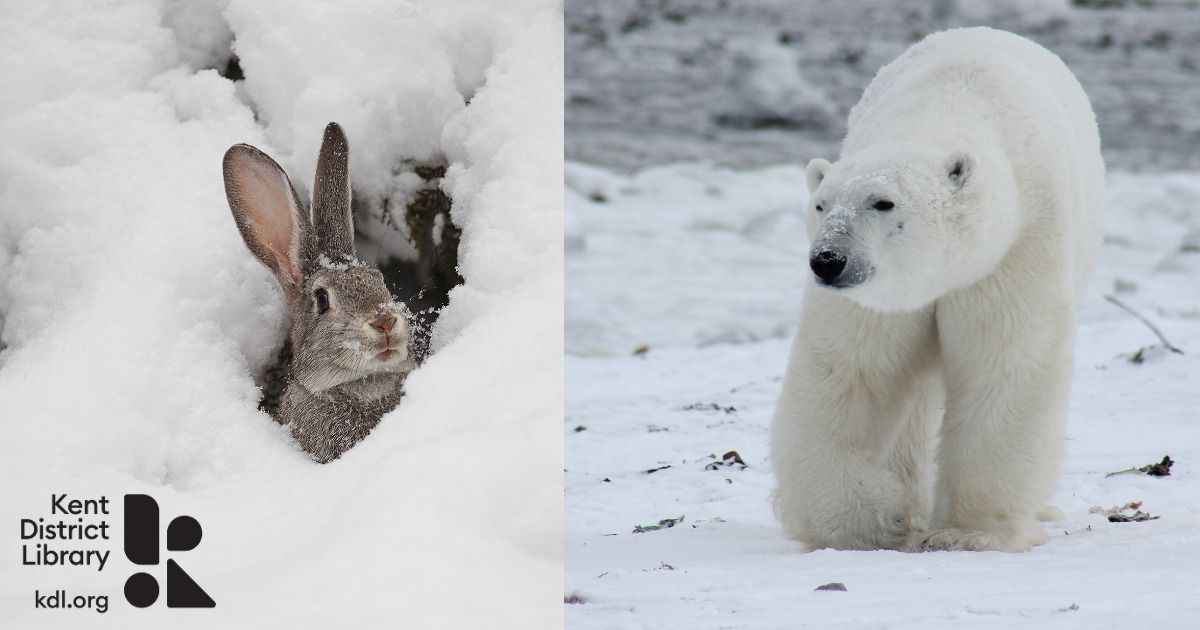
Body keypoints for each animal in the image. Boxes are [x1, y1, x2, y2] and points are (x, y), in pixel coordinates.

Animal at [772, 27, 1099, 552]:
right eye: (821, 204)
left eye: (882, 202)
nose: (827, 261)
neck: (944, 110)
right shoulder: (880, 299)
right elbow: (850, 372)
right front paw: (873, 519)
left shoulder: (1014, 251)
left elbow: (1003, 365)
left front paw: (967, 533)